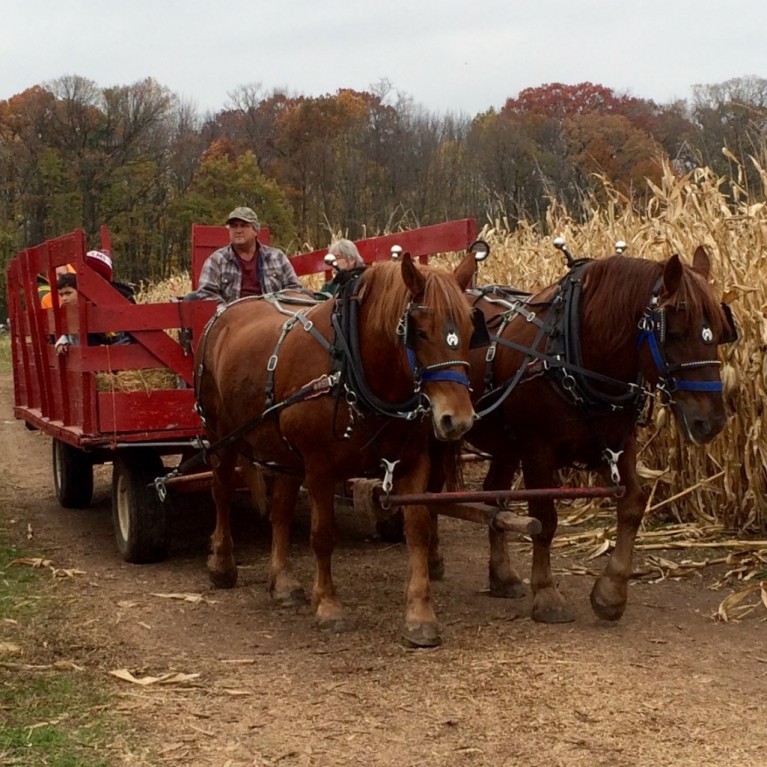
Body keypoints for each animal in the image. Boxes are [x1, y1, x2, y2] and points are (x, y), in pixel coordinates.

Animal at [195, 254, 476, 648]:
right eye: (419, 332)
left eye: (471, 329)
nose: (458, 419)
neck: (353, 366)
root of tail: (226, 312)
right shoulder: (319, 468)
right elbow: (323, 534)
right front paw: (328, 606)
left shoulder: (413, 462)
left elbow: (418, 530)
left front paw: (421, 616)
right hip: (221, 435)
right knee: (220, 490)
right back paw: (222, 563)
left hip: (283, 452)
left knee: (280, 510)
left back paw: (283, 581)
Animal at [428, 244, 736, 624]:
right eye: (675, 333)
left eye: (721, 330)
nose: (712, 421)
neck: (578, 350)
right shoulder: (537, 449)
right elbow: (544, 518)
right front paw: (546, 593)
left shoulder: (618, 444)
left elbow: (632, 505)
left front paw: (611, 592)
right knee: (431, 492)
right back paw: (433, 559)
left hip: (506, 444)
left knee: (493, 497)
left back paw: (502, 575)